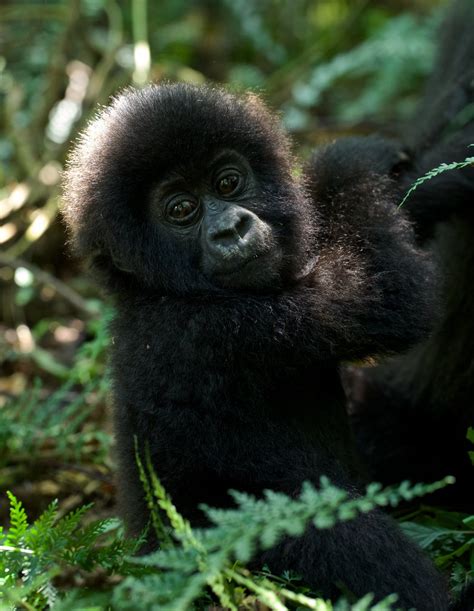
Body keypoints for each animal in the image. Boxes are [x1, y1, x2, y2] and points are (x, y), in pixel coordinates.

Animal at [63, 83, 448, 608]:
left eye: (228, 183)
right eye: (180, 210)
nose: (231, 229)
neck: (152, 292)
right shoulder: (213, 330)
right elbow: (388, 297)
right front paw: (349, 158)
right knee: (354, 542)